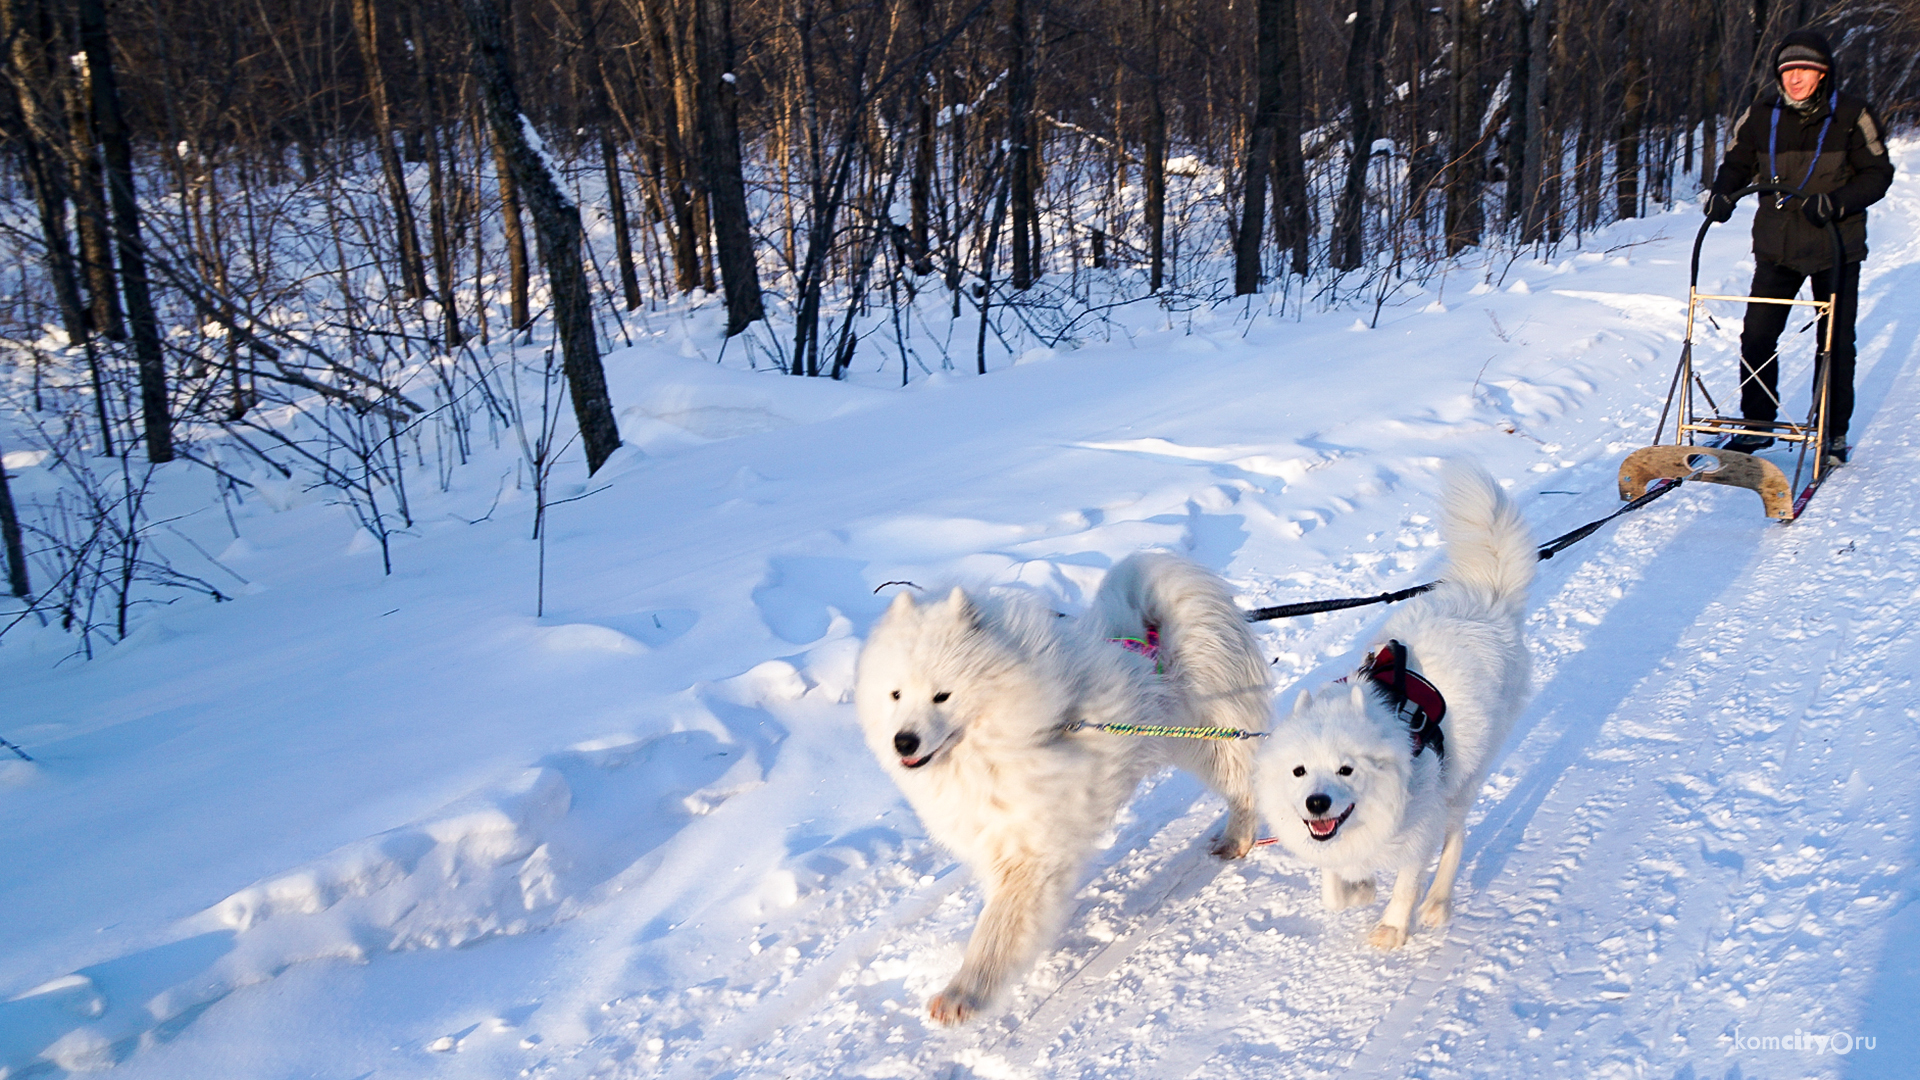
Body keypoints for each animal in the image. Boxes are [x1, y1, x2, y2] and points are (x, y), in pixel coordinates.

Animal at [852, 553, 1267, 1014]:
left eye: (942, 696)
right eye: (895, 694)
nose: (903, 741)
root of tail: (1156, 628)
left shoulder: (1029, 849)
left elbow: (997, 927)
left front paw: (964, 993)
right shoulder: (997, 839)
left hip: (1209, 742)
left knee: (1245, 787)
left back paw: (1237, 838)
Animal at [1259, 457, 1528, 945]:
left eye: (1347, 769)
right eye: (1299, 771)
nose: (1316, 803)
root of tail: (1486, 597)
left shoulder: (1421, 825)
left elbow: (1406, 883)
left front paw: (1391, 929)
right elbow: (1334, 888)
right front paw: (1360, 887)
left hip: (1463, 779)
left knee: (1457, 836)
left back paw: (1438, 904)